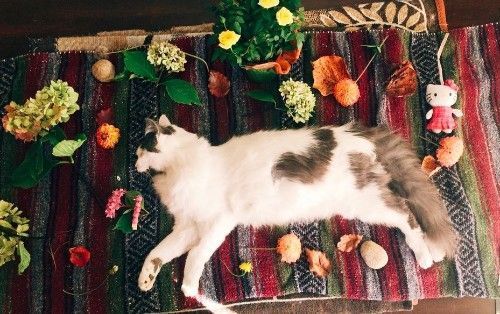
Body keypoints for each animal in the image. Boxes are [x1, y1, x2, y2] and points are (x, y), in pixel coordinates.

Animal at [135, 114, 456, 296]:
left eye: (140, 148)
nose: (135, 161)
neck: (180, 166)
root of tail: (355, 132)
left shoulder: (217, 222)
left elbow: (194, 256)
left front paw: (189, 287)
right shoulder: (188, 227)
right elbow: (158, 252)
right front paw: (145, 279)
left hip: (367, 202)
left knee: (406, 215)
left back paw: (427, 255)